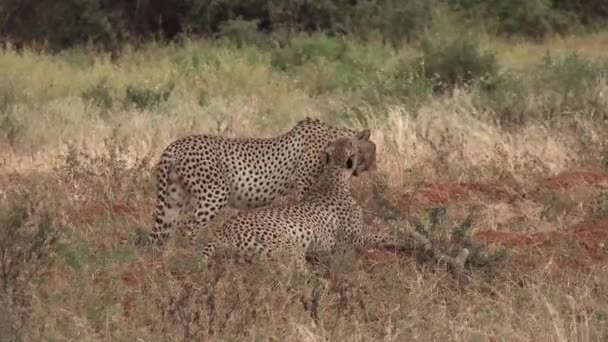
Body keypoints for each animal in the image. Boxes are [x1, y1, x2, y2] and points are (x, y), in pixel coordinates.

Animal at [146, 117, 376, 248]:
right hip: (216, 192)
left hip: (174, 196)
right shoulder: (302, 184)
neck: (333, 136)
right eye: (373, 150)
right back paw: (192, 252)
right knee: (187, 227)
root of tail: (175, 145)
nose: (374, 166)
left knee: (165, 231)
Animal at [200, 136, 406, 270]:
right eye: (354, 146)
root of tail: (222, 231)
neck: (332, 177)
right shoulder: (353, 239)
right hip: (289, 248)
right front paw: (403, 239)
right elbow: (380, 235)